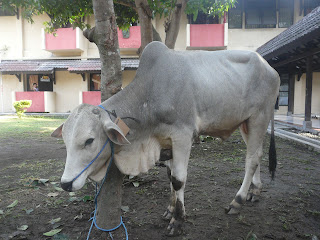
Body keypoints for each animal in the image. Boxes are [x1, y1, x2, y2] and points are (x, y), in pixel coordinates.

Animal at [52, 41, 280, 236]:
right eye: (65, 141)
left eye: (89, 141)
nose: (65, 184)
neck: (149, 94)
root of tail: (270, 68)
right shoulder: (165, 141)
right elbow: (170, 176)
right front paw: (170, 210)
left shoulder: (183, 136)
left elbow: (178, 179)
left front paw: (177, 221)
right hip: (245, 124)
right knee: (257, 154)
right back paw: (255, 191)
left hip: (259, 118)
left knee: (251, 159)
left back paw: (237, 201)